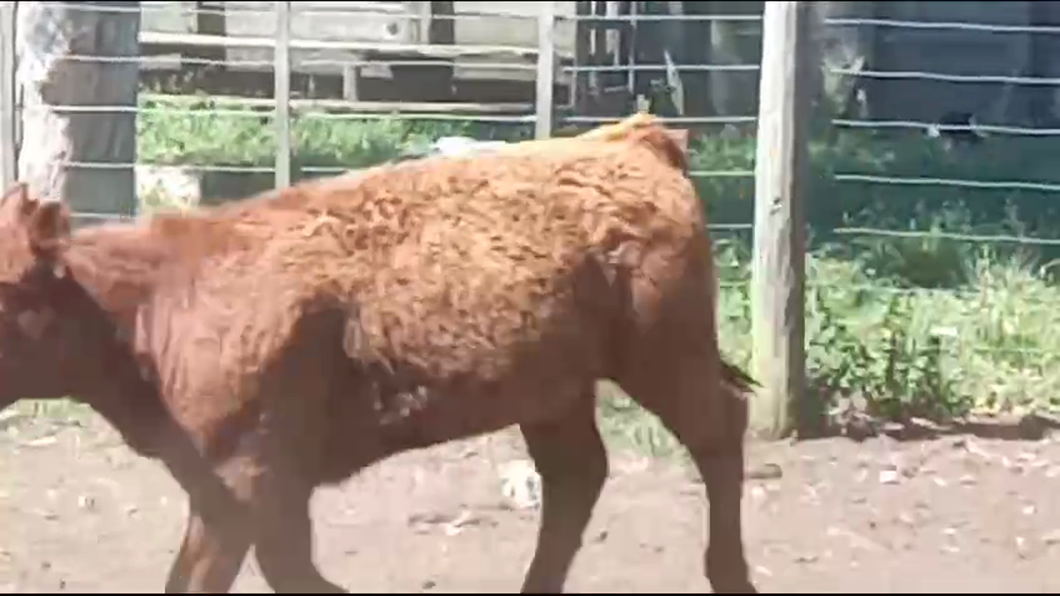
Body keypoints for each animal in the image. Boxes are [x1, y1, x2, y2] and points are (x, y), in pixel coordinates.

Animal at [0, 113, 763, 589]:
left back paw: (730, 575)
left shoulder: (243, 482)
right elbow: (287, 570)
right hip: (555, 393)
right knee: (577, 477)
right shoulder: (244, 491)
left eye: (5, 295)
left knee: (717, 432)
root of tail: (631, 142)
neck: (150, 304)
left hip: (664, 357)